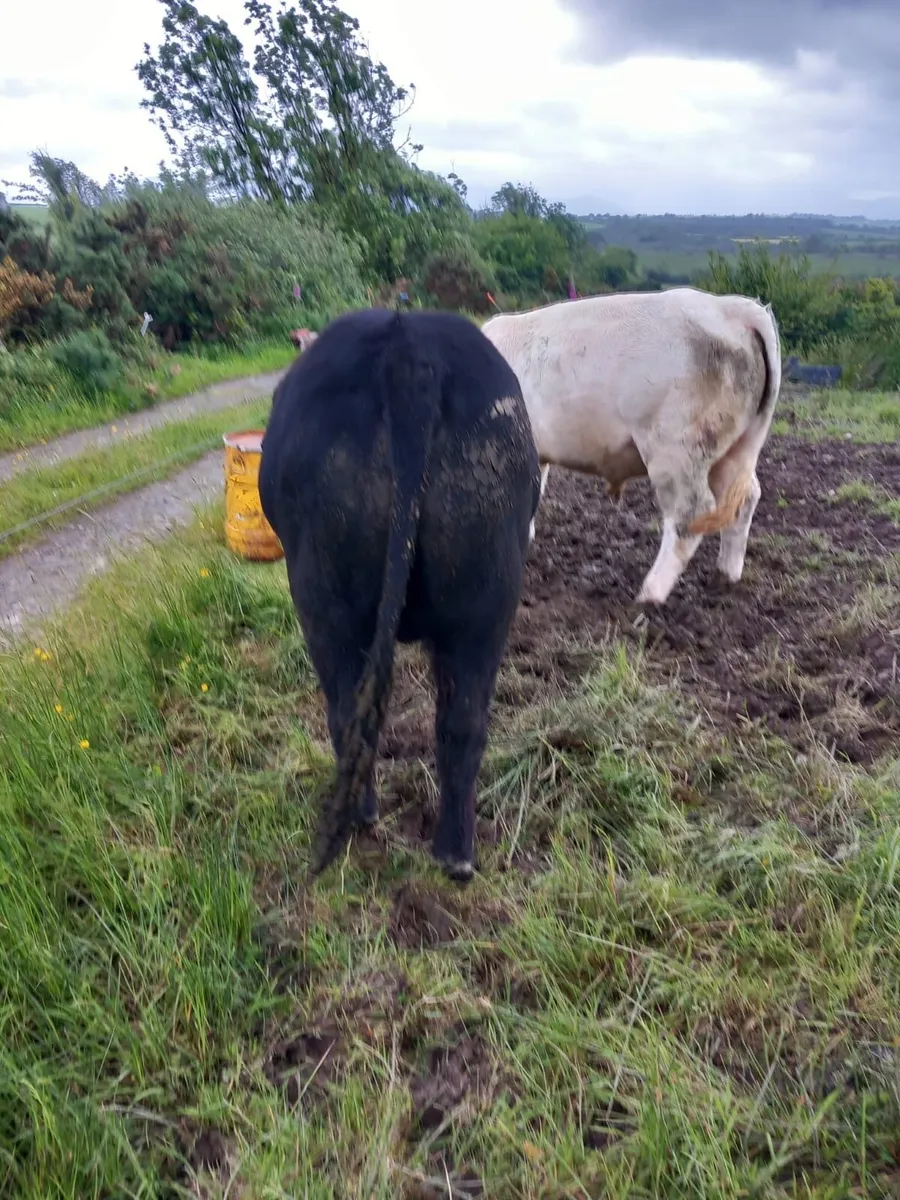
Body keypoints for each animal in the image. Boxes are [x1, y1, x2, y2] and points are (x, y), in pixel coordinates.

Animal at [259, 308, 541, 881]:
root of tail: (409, 350)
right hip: (485, 602)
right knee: (462, 725)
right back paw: (456, 856)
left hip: (323, 602)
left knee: (348, 715)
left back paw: (360, 818)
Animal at [481, 286, 782, 606]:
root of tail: (730, 307)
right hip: (735, 451)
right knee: (744, 499)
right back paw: (725, 576)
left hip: (675, 449)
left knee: (691, 513)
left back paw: (649, 595)